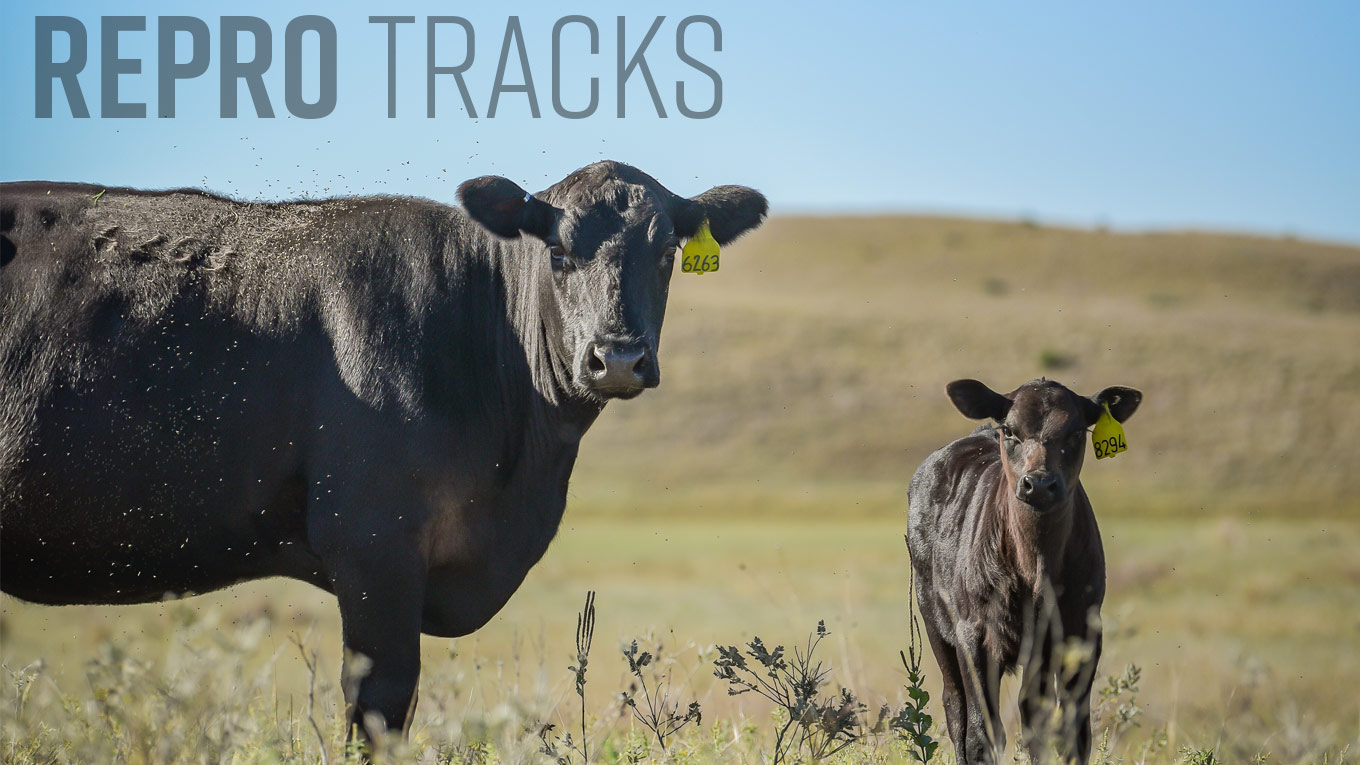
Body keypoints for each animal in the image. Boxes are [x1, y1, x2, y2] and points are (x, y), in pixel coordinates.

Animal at [906, 378, 1142, 764]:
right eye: (1010, 431)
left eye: (1076, 432)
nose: (1040, 483)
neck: (1036, 570)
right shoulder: (974, 634)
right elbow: (981, 733)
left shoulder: (1082, 634)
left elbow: (1070, 733)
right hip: (934, 619)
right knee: (955, 708)